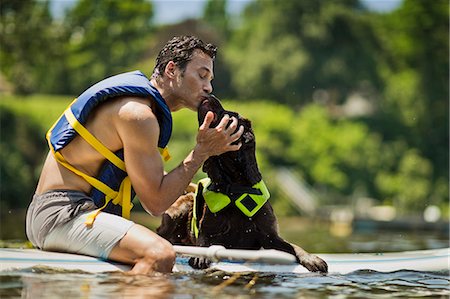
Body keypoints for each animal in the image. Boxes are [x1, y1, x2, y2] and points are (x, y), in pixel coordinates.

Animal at [158, 95, 326, 274]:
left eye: (233, 114)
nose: (210, 96)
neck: (234, 186)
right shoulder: (208, 231)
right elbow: (205, 243)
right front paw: (200, 256)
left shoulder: (270, 237)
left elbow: (293, 246)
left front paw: (311, 258)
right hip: (179, 209)